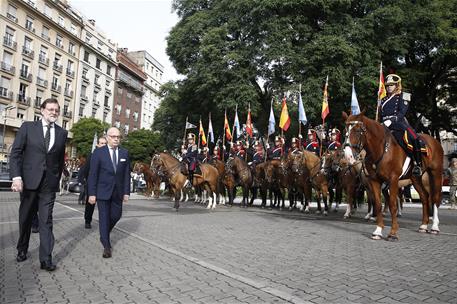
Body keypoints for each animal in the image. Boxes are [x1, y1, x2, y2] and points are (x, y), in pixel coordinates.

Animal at [342, 111, 442, 240]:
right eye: (345, 131)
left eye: (358, 130)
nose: (348, 156)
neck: (382, 150)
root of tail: (433, 140)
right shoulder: (374, 181)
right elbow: (378, 204)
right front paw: (378, 230)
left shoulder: (393, 180)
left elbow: (392, 205)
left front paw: (393, 233)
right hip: (415, 178)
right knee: (425, 196)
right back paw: (423, 225)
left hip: (435, 174)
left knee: (435, 198)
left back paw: (434, 227)